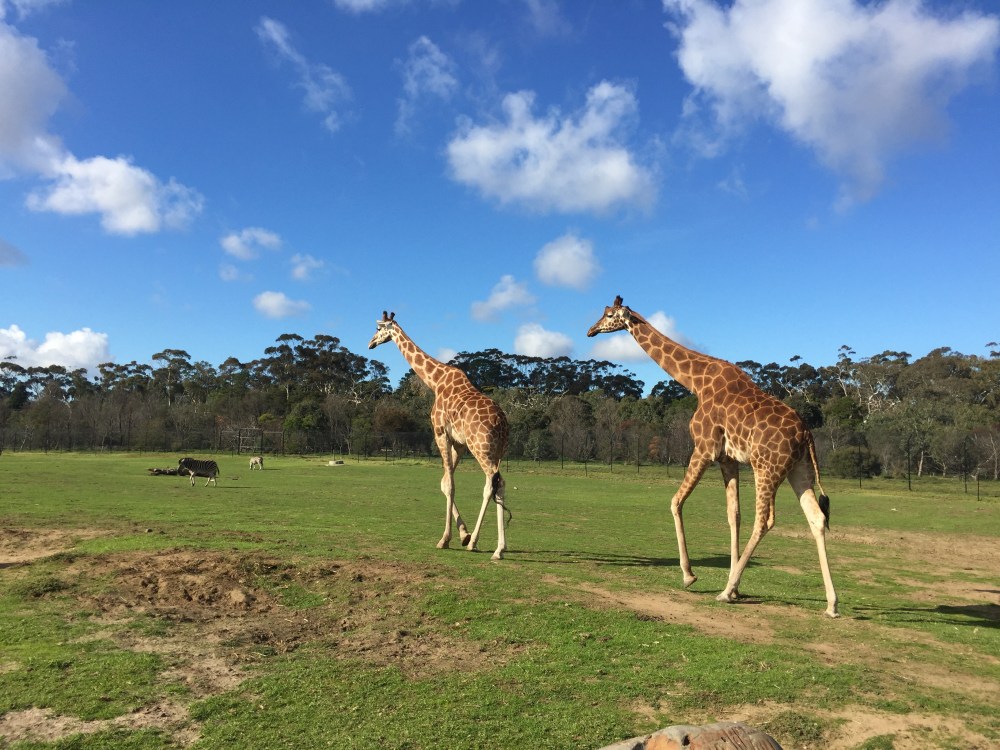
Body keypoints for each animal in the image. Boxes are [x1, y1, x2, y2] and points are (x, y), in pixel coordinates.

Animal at [368, 311, 510, 560]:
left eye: (378, 329)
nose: (370, 343)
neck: (435, 382)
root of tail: (502, 424)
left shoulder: (440, 432)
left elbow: (450, 484)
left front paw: (445, 539)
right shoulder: (459, 443)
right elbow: (445, 482)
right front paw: (463, 535)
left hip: (481, 448)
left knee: (494, 484)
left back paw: (489, 546)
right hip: (496, 451)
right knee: (496, 485)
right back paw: (494, 546)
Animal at [587, 296, 838, 617]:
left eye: (608, 315)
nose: (590, 331)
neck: (696, 381)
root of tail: (806, 435)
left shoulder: (704, 447)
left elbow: (675, 501)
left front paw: (690, 576)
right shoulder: (727, 459)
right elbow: (734, 515)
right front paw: (735, 584)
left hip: (767, 467)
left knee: (765, 520)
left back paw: (725, 592)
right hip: (799, 470)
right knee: (816, 518)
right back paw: (831, 604)